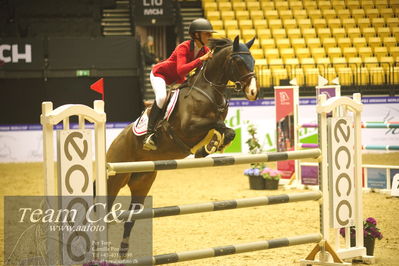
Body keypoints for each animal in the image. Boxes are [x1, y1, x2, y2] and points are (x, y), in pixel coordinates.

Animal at [105, 35, 260, 258]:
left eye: (253, 61)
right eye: (238, 61)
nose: (254, 92)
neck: (208, 91)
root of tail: (114, 143)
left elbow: (226, 130)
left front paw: (210, 147)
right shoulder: (188, 127)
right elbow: (218, 125)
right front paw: (209, 147)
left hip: (142, 183)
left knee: (130, 219)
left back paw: (123, 252)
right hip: (114, 179)